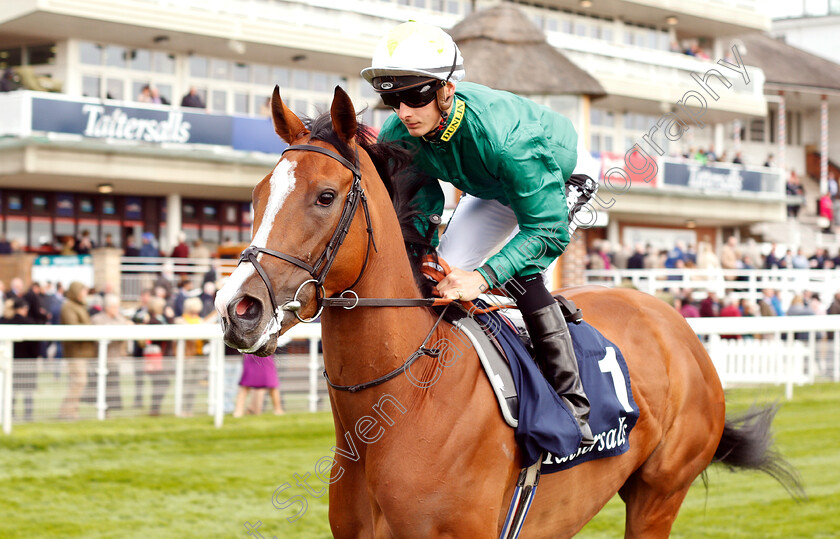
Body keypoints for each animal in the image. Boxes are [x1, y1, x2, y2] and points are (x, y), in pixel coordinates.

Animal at [217, 86, 800, 536]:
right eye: (257, 194)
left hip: (659, 493)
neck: (407, 401)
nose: (238, 308)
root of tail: (677, 325)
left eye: (325, 196)